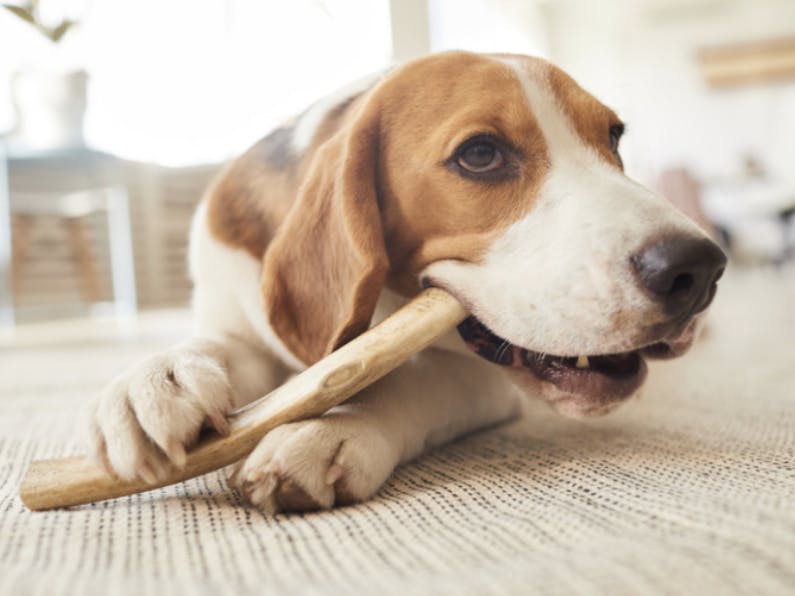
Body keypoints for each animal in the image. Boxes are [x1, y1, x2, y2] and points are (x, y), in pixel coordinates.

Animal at [85, 51, 728, 512]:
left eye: (614, 137)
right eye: (480, 154)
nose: (698, 269)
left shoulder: (477, 376)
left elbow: (410, 379)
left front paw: (330, 428)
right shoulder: (234, 320)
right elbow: (214, 349)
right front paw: (155, 381)